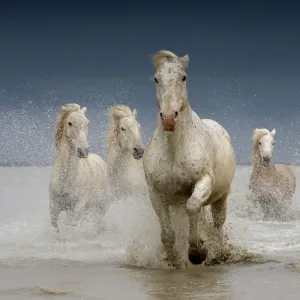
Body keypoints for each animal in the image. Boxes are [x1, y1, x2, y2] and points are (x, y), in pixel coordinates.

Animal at [49, 103, 108, 232]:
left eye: (87, 123)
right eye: (70, 123)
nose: (83, 151)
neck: (66, 179)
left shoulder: (78, 206)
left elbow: (73, 226)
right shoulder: (54, 207)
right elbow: (55, 226)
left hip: (102, 206)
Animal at [143, 50, 237, 268]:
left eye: (183, 77)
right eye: (156, 79)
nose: (169, 118)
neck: (175, 150)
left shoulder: (203, 181)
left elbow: (193, 207)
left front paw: (198, 253)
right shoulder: (156, 193)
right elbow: (168, 235)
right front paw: (172, 260)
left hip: (221, 197)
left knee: (216, 224)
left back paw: (217, 254)